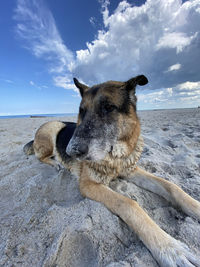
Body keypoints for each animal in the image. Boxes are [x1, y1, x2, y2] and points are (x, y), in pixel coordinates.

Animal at [23, 75, 200, 266]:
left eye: (108, 108)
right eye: (82, 111)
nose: (71, 151)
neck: (114, 156)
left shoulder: (131, 170)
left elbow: (171, 186)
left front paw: (195, 207)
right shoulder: (89, 185)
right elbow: (129, 203)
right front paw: (169, 247)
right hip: (51, 132)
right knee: (40, 156)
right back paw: (56, 163)